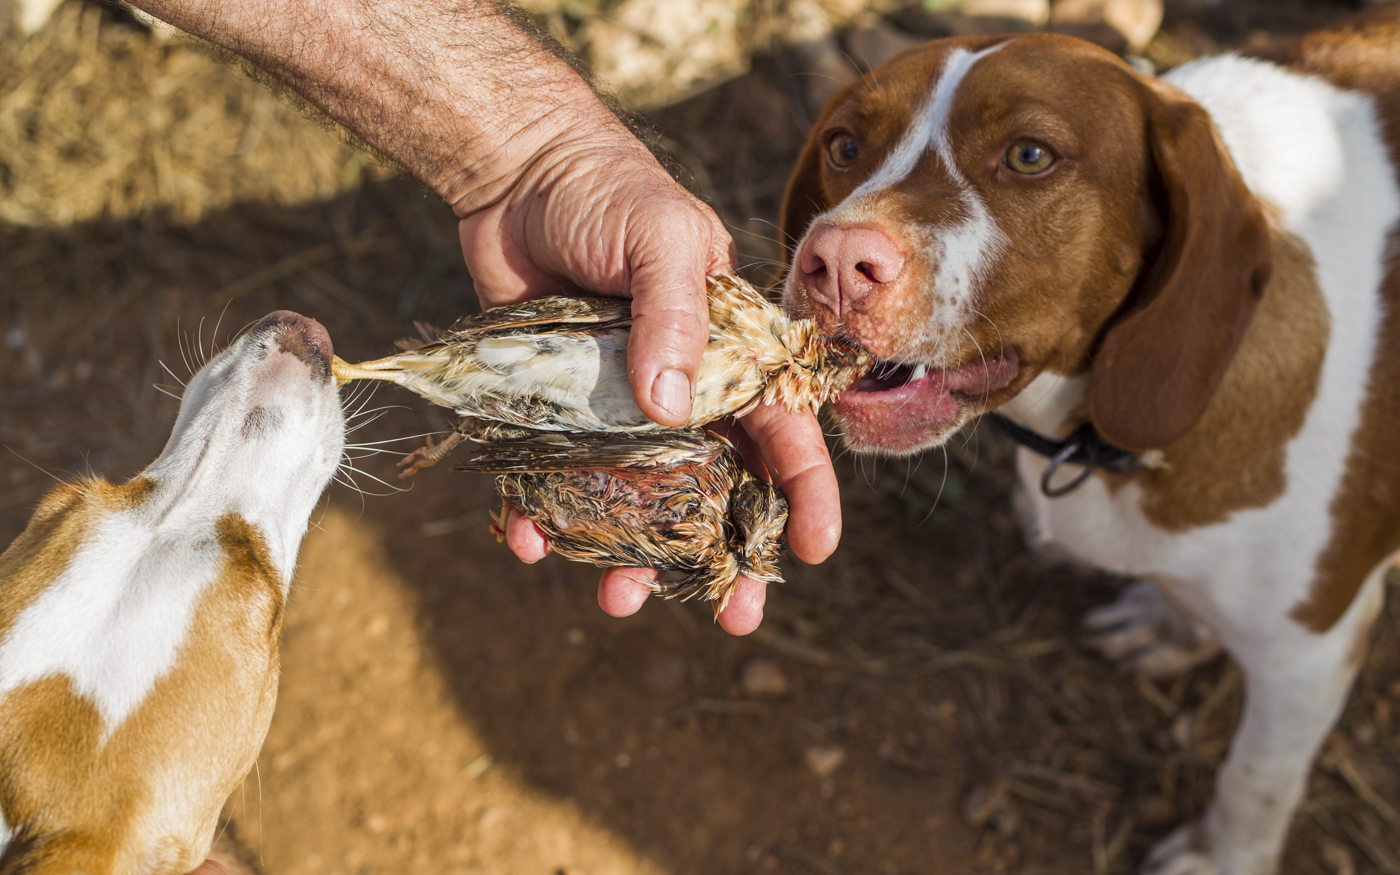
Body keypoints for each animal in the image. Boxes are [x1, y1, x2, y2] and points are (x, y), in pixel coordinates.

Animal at [784, 6, 1400, 873]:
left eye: (1030, 155)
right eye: (843, 146)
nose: (833, 261)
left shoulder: (1311, 653)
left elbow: (1256, 775)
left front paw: (1222, 856)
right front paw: (1172, 622)